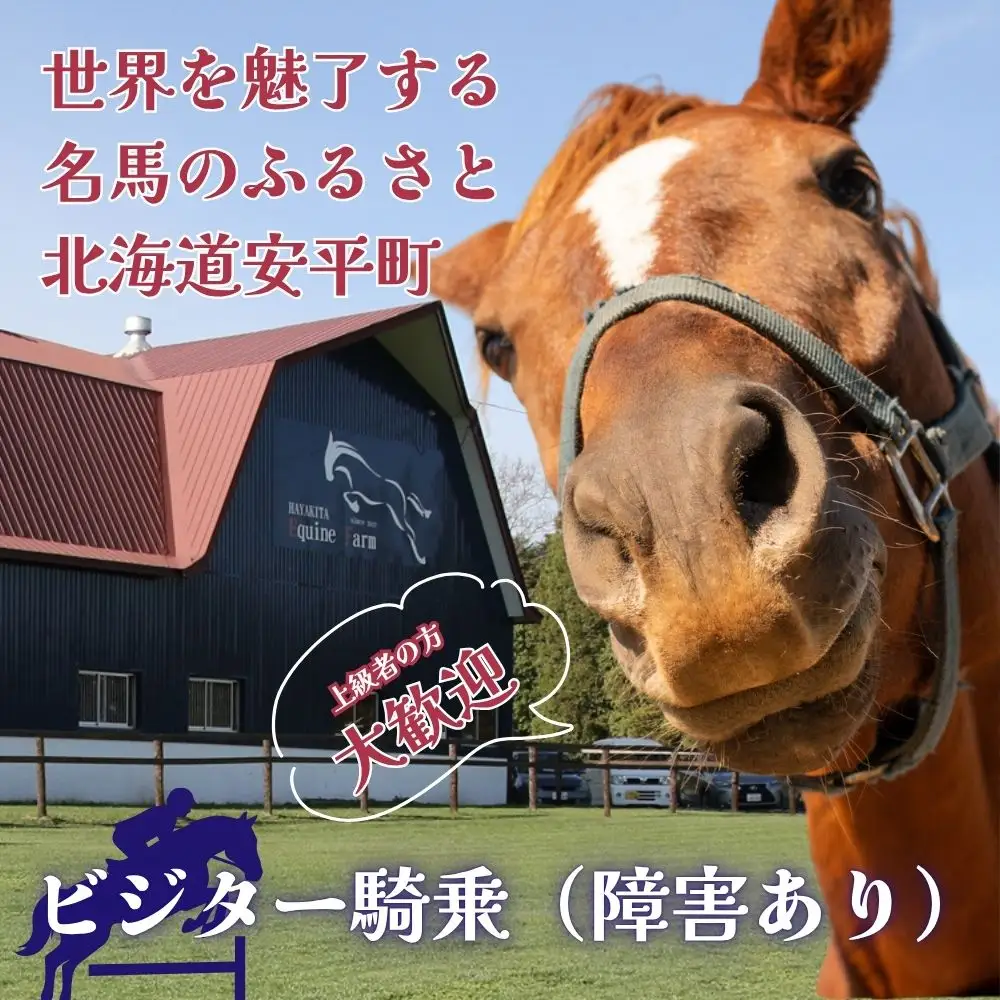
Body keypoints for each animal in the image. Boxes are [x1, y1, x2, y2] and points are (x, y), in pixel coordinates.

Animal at [16, 812, 262, 1000]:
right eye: (246, 841)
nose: (257, 873)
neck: (186, 853)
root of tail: (59, 898)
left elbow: (222, 894)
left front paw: (203, 923)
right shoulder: (187, 897)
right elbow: (218, 895)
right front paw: (197, 923)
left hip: (88, 940)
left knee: (63, 964)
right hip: (87, 939)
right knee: (55, 961)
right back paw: (48, 995)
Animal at [323, 434, 434, 564]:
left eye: (329, 459)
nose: (329, 478)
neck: (355, 470)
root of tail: (401, 490)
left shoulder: (357, 491)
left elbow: (346, 494)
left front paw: (355, 507)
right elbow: (346, 494)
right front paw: (355, 507)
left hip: (398, 513)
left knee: (410, 532)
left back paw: (420, 558)